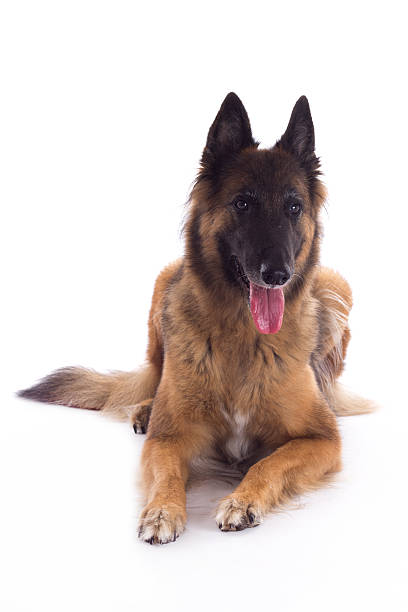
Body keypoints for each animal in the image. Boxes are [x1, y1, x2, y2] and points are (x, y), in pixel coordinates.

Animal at [20, 94, 374, 544]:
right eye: (243, 203)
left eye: (294, 207)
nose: (277, 275)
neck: (243, 336)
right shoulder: (168, 438)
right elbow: (167, 473)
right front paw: (161, 511)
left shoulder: (322, 439)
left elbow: (269, 463)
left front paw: (243, 500)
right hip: (163, 282)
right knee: (155, 376)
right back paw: (146, 408)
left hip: (334, 283)